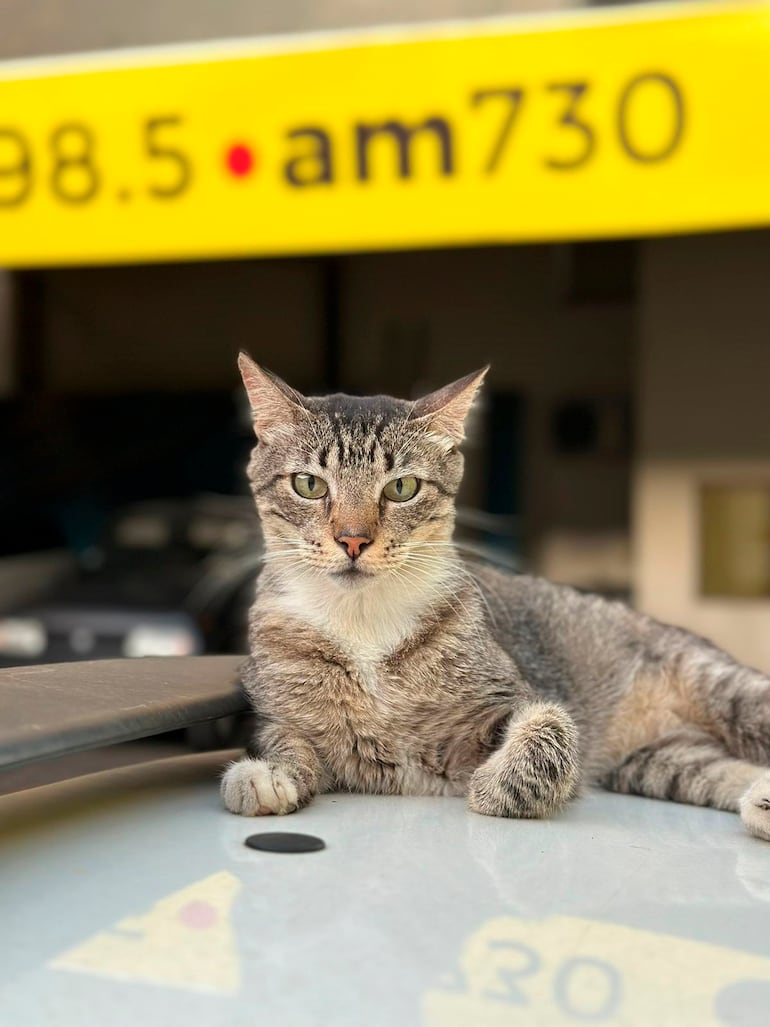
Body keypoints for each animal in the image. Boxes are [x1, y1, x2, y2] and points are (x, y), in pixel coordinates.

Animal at [221, 355, 770, 842]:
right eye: (308, 484)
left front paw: (494, 787)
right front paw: (266, 775)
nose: (353, 540)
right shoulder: (276, 711)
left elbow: (551, 728)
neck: (363, 626)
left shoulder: (512, 699)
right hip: (662, 760)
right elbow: (284, 741)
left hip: (725, 691)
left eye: (401, 488)